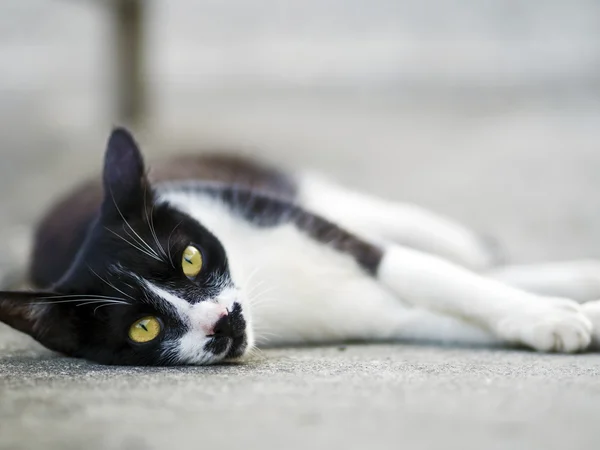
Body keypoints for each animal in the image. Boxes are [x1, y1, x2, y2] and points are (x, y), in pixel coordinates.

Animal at [1, 127, 600, 366]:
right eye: (143, 328)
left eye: (191, 258)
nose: (223, 321)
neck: (259, 276)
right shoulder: (376, 316)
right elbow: (438, 317)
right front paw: (556, 319)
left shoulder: (334, 238)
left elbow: (441, 278)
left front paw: (550, 314)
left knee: (451, 252)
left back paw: (480, 246)